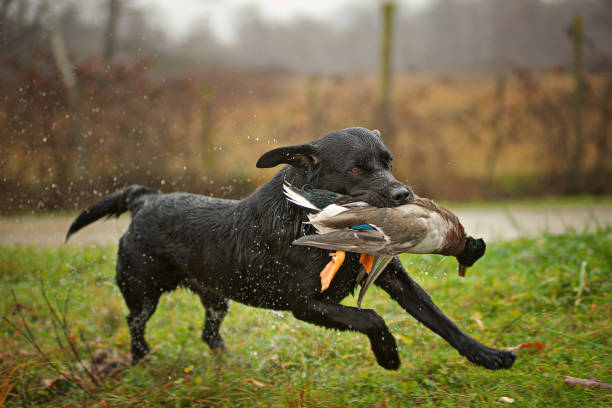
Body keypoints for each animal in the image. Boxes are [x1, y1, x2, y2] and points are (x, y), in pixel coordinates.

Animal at [68, 126, 516, 370]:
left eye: (389, 161)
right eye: (356, 168)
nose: (403, 195)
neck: (304, 214)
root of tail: (146, 199)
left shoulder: (393, 278)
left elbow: (441, 321)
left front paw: (488, 355)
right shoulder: (306, 304)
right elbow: (370, 317)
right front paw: (388, 355)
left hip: (216, 296)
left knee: (209, 332)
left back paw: (231, 364)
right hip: (142, 289)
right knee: (135, 323)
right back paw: (141, 361)